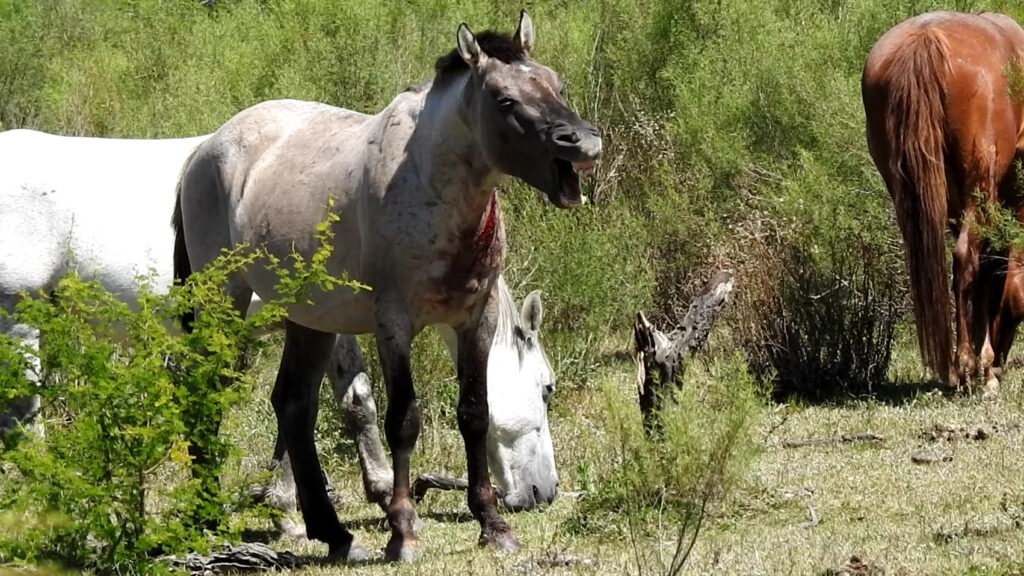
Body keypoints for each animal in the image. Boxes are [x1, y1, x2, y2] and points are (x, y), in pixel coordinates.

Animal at [0, 127, 561, 508]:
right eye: (547, 388)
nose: (545, 491)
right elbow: (333, 403)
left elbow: (345, 399)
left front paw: (363, 486)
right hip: (19, 321)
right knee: (25, 419)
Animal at [172, 11, 598, 561]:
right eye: (505, 100)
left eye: (555, 84)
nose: (585, 142)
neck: (427, 186)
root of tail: (203, 150)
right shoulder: (393, 325)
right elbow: (403, 421)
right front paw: (403, 532)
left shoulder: (474, 321)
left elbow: (475, 415)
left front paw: (492, 525)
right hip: (222, 303)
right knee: (209, 392)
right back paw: (207, 517)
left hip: (309, 320)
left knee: (293, 405)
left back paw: (333, 534)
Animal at [864, 11, 1024, 391]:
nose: (1002, 364)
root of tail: (926, 39)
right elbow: (992, 266)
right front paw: (984, 366)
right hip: (979, 186)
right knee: (966, 259)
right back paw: (968, 365)